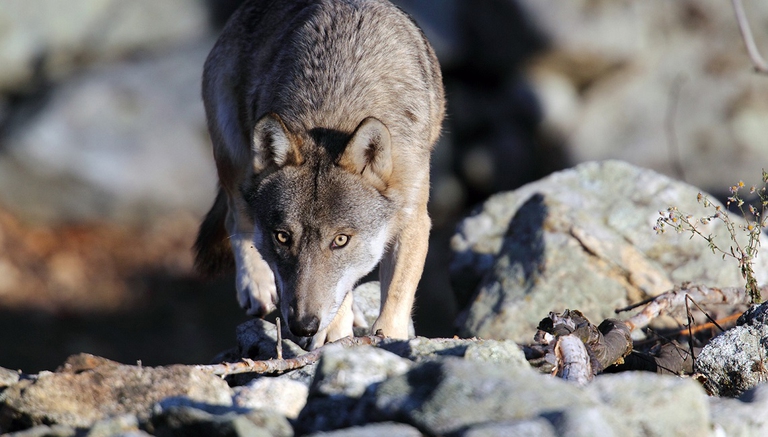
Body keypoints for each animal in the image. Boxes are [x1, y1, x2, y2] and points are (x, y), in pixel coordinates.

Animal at [194, 0, 444, 348]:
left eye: (340, 240)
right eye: (282, 236)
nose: (302, 326)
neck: (336, 107)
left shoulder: (414, 220)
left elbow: (393, 299)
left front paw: (388, 338)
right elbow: (338, 304)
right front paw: (336, 337)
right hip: (236, 157)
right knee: (236, 215)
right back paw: (255, 286)